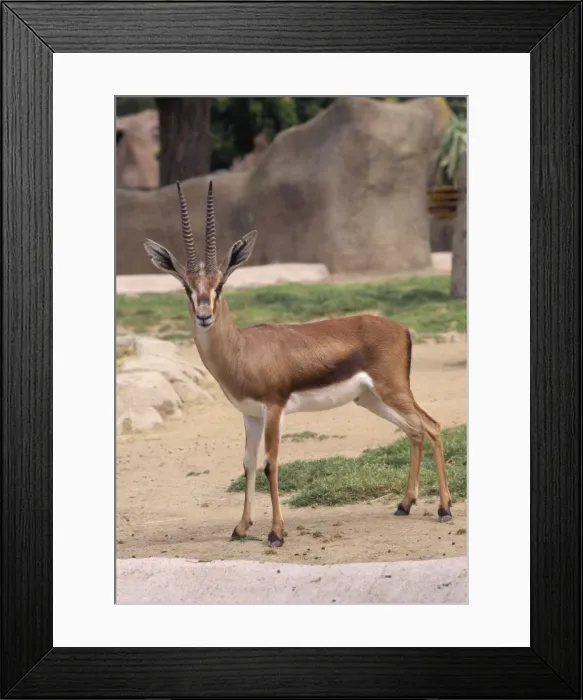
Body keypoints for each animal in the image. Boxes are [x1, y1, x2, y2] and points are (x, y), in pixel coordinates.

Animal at [143, 181, 452, 548]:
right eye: (186, 287)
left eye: (220, 284)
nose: (204, 316)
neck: (242, 349)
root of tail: (402, 329)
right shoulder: (250, 415)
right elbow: (248, 464)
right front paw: (241, 528)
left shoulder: (274, 409)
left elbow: (270, 464)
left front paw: (276, 533)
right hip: (370, 399)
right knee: (414, 430)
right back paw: (405, 505)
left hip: (392, 391)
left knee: (432, 426)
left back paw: (444, 510)